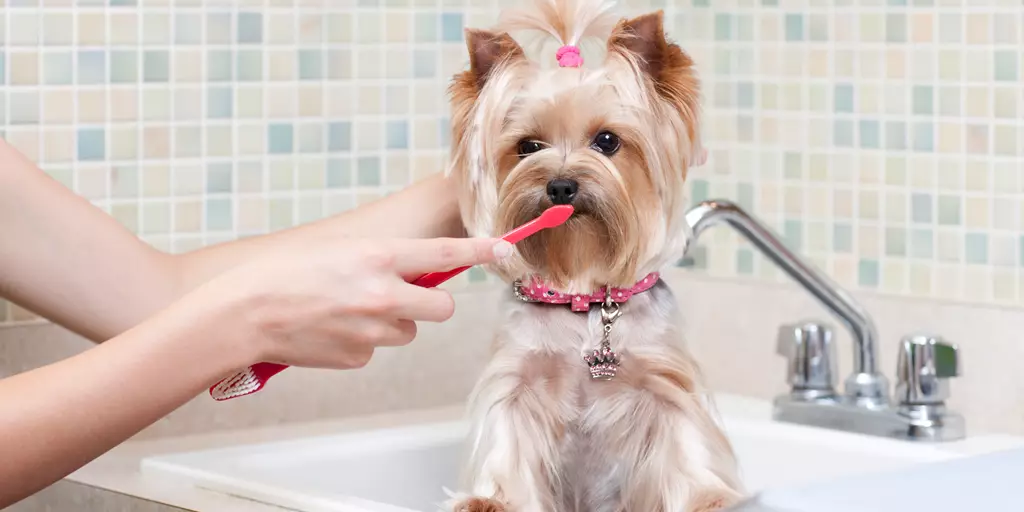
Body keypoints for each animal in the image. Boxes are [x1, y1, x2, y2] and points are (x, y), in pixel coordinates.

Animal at [444, 2, 741, 509]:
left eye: (607, 141)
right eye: (527, 147)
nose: (561, 185)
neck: (581, 298)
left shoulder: (664, 380)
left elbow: (684, 442)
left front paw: (709, 497)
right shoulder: (516, 379)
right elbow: (507, 438)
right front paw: (491, 499)